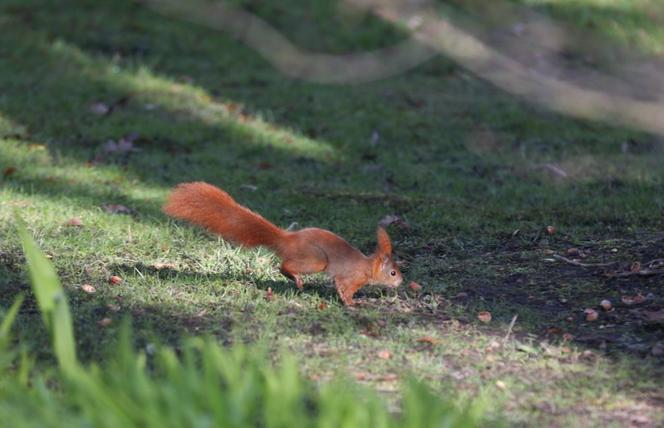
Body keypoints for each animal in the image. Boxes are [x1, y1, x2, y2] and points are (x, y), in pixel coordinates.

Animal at [165, 181, 404, 304]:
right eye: (392, 272)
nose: (401, 282)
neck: (367, 266)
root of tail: (288, 238)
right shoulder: (350, 277)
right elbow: (344, 289)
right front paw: (351, 304)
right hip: (316, 259)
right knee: (284, 265)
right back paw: (295, 279)